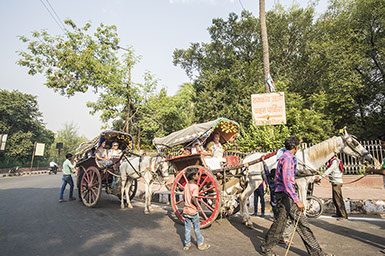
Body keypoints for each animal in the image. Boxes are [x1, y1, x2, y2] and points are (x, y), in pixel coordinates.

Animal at [240, 130, 372, 226]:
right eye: (355, 143)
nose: (369, 157)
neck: (308, 158)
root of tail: (246, 160)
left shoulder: (299, 185)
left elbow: (300, 203)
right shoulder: (302, 184)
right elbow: (303, 203)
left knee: (242, 197)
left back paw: (245, 219)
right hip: (255, 181)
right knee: (244, 196)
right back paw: (247, 220)